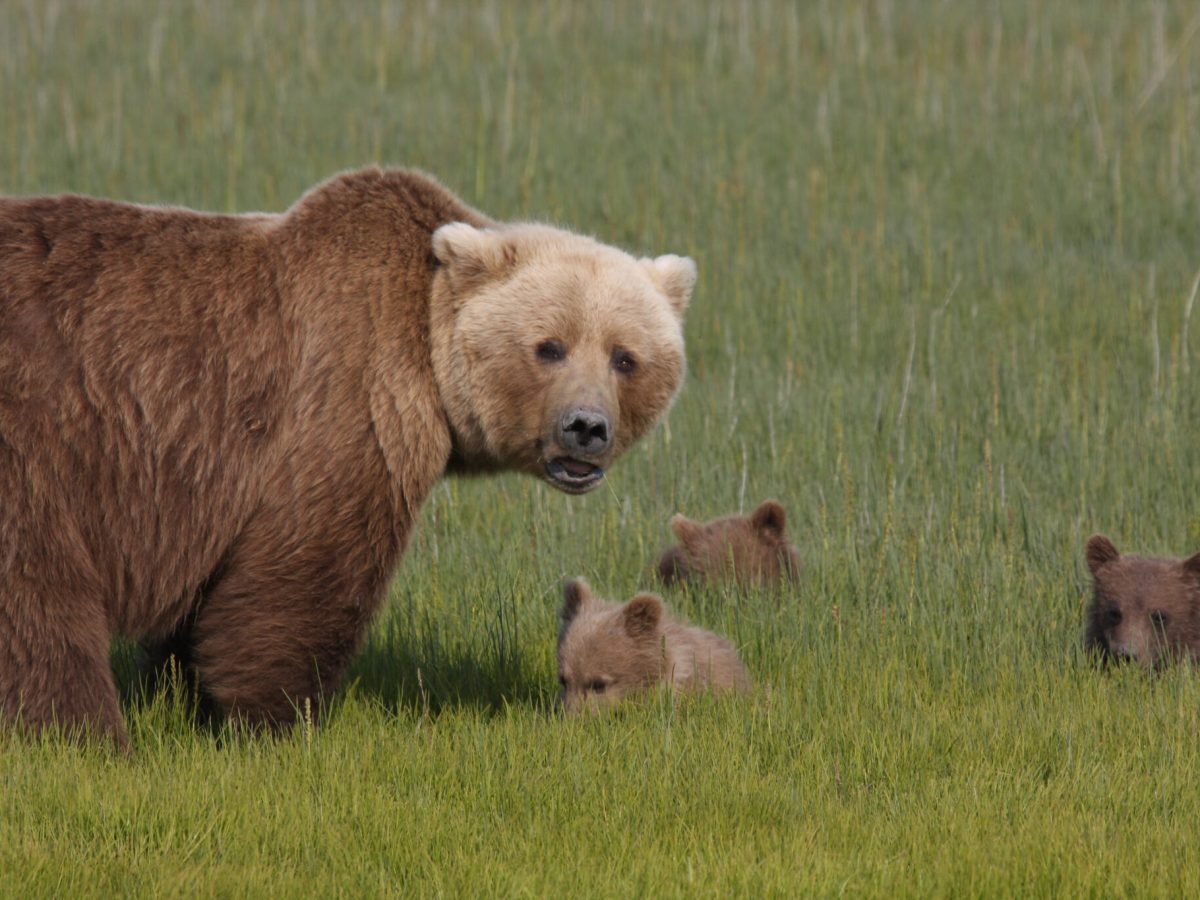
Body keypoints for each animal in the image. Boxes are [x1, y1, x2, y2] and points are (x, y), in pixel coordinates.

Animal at [0, 167, 695, 745]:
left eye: (625, 356)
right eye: (548, 346)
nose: (586, 428)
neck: (427, 353)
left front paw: (183, 692)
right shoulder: (347, 407)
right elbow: (302, 575)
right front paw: (273, 719)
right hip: (42, 439)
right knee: (36, 598)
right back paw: (81, 731)